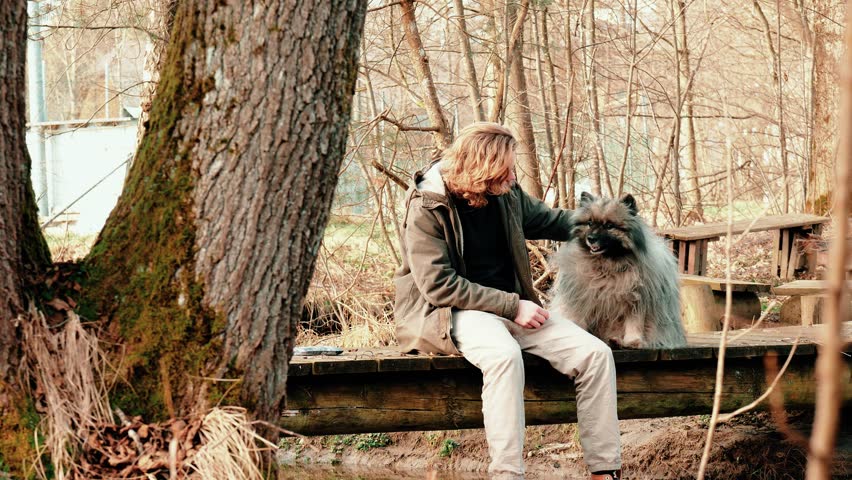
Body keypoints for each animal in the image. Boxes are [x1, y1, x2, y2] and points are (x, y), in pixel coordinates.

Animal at [548, 192, 686, 348]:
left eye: (609, 226)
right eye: (590, 223)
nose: (591, 238)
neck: (607, 265)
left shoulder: (636, 300)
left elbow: (634, 324)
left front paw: (633, 341)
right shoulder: (582, 297)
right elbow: (578, 317)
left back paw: (617, 341)